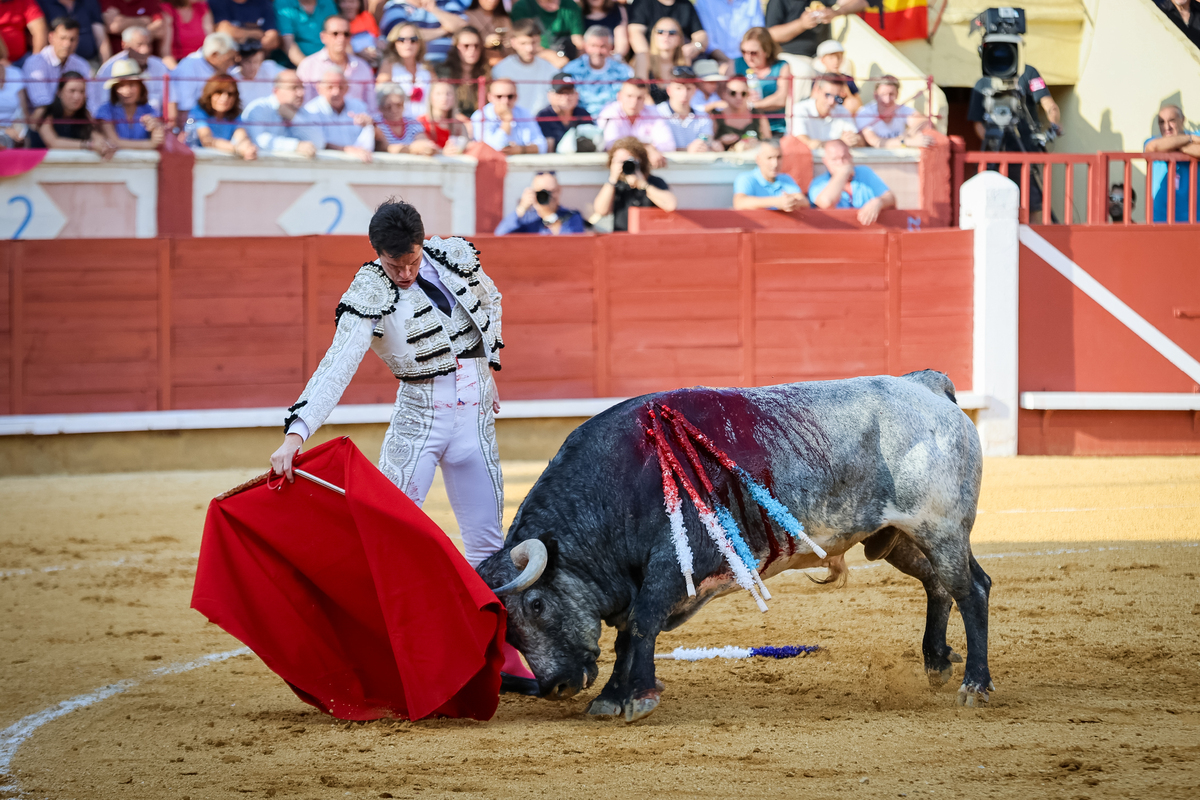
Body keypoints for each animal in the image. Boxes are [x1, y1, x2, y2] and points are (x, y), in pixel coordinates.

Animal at [477, 371, 993, 724]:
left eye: (537, 605)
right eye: (508, 631)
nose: (556, 686)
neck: (615, 491)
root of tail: (924, 385)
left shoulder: (670, 566)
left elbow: (640, 625)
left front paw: (634, 697)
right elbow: (628, 634)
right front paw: (612, 697)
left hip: (940, 527)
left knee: (972, 591)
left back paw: (976, 684)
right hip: (898, 538)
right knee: (939, 585)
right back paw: (937, 662)